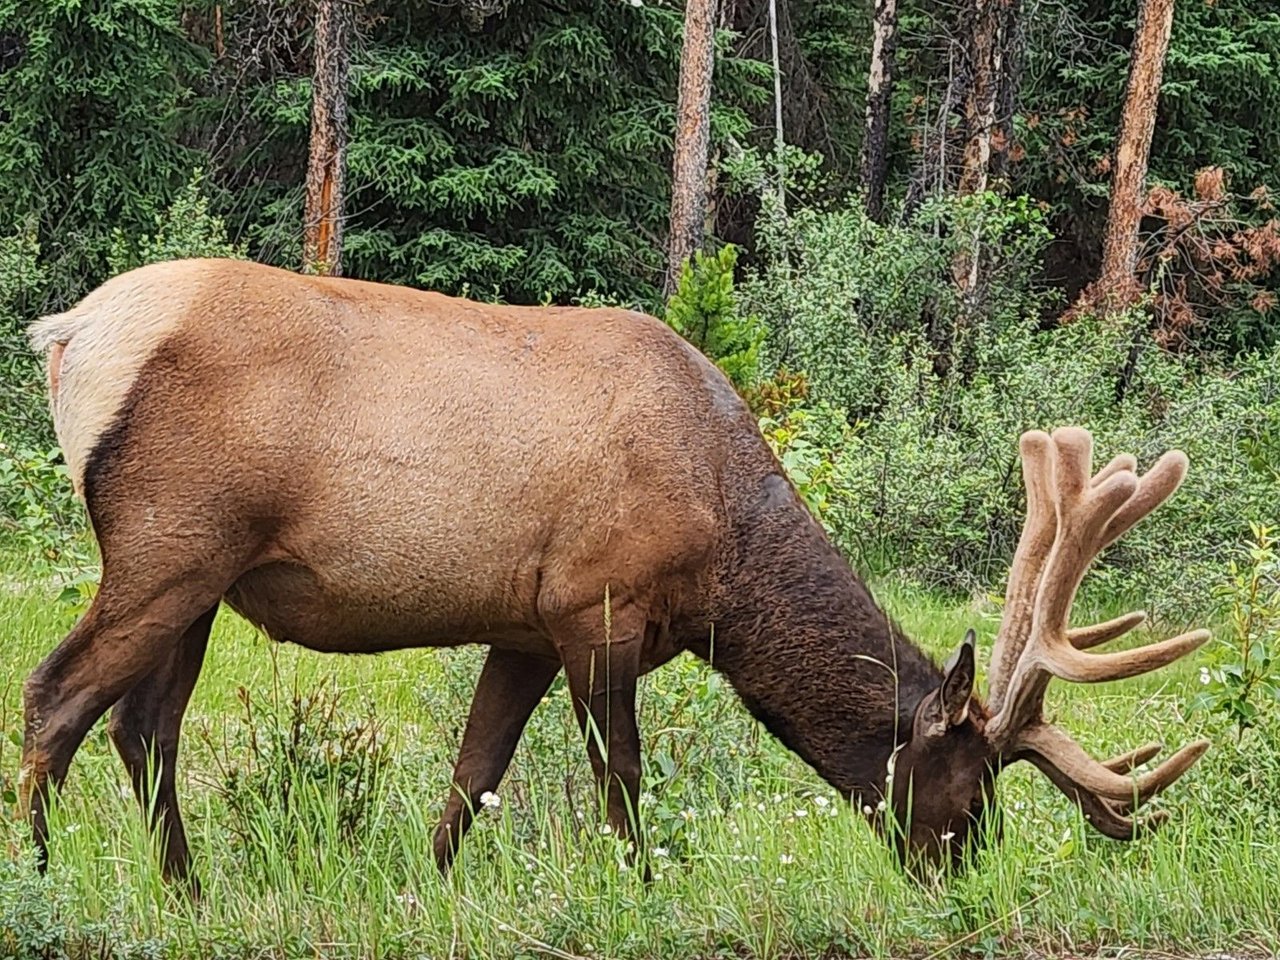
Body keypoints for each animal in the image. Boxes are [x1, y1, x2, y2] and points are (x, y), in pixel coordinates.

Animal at [20, 257, 1208, 885]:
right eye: (966, 792)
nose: (958, 884)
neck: (727, 550)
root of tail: (69, 332)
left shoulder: (522, 625)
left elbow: (473, 777)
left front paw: (429, 888)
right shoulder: (596, 604)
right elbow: (622, 783)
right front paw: (636, 887)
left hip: (202, 577)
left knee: (142, 727)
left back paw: (186, 890)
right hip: (168, 542)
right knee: (55, 695)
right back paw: (39, 879)